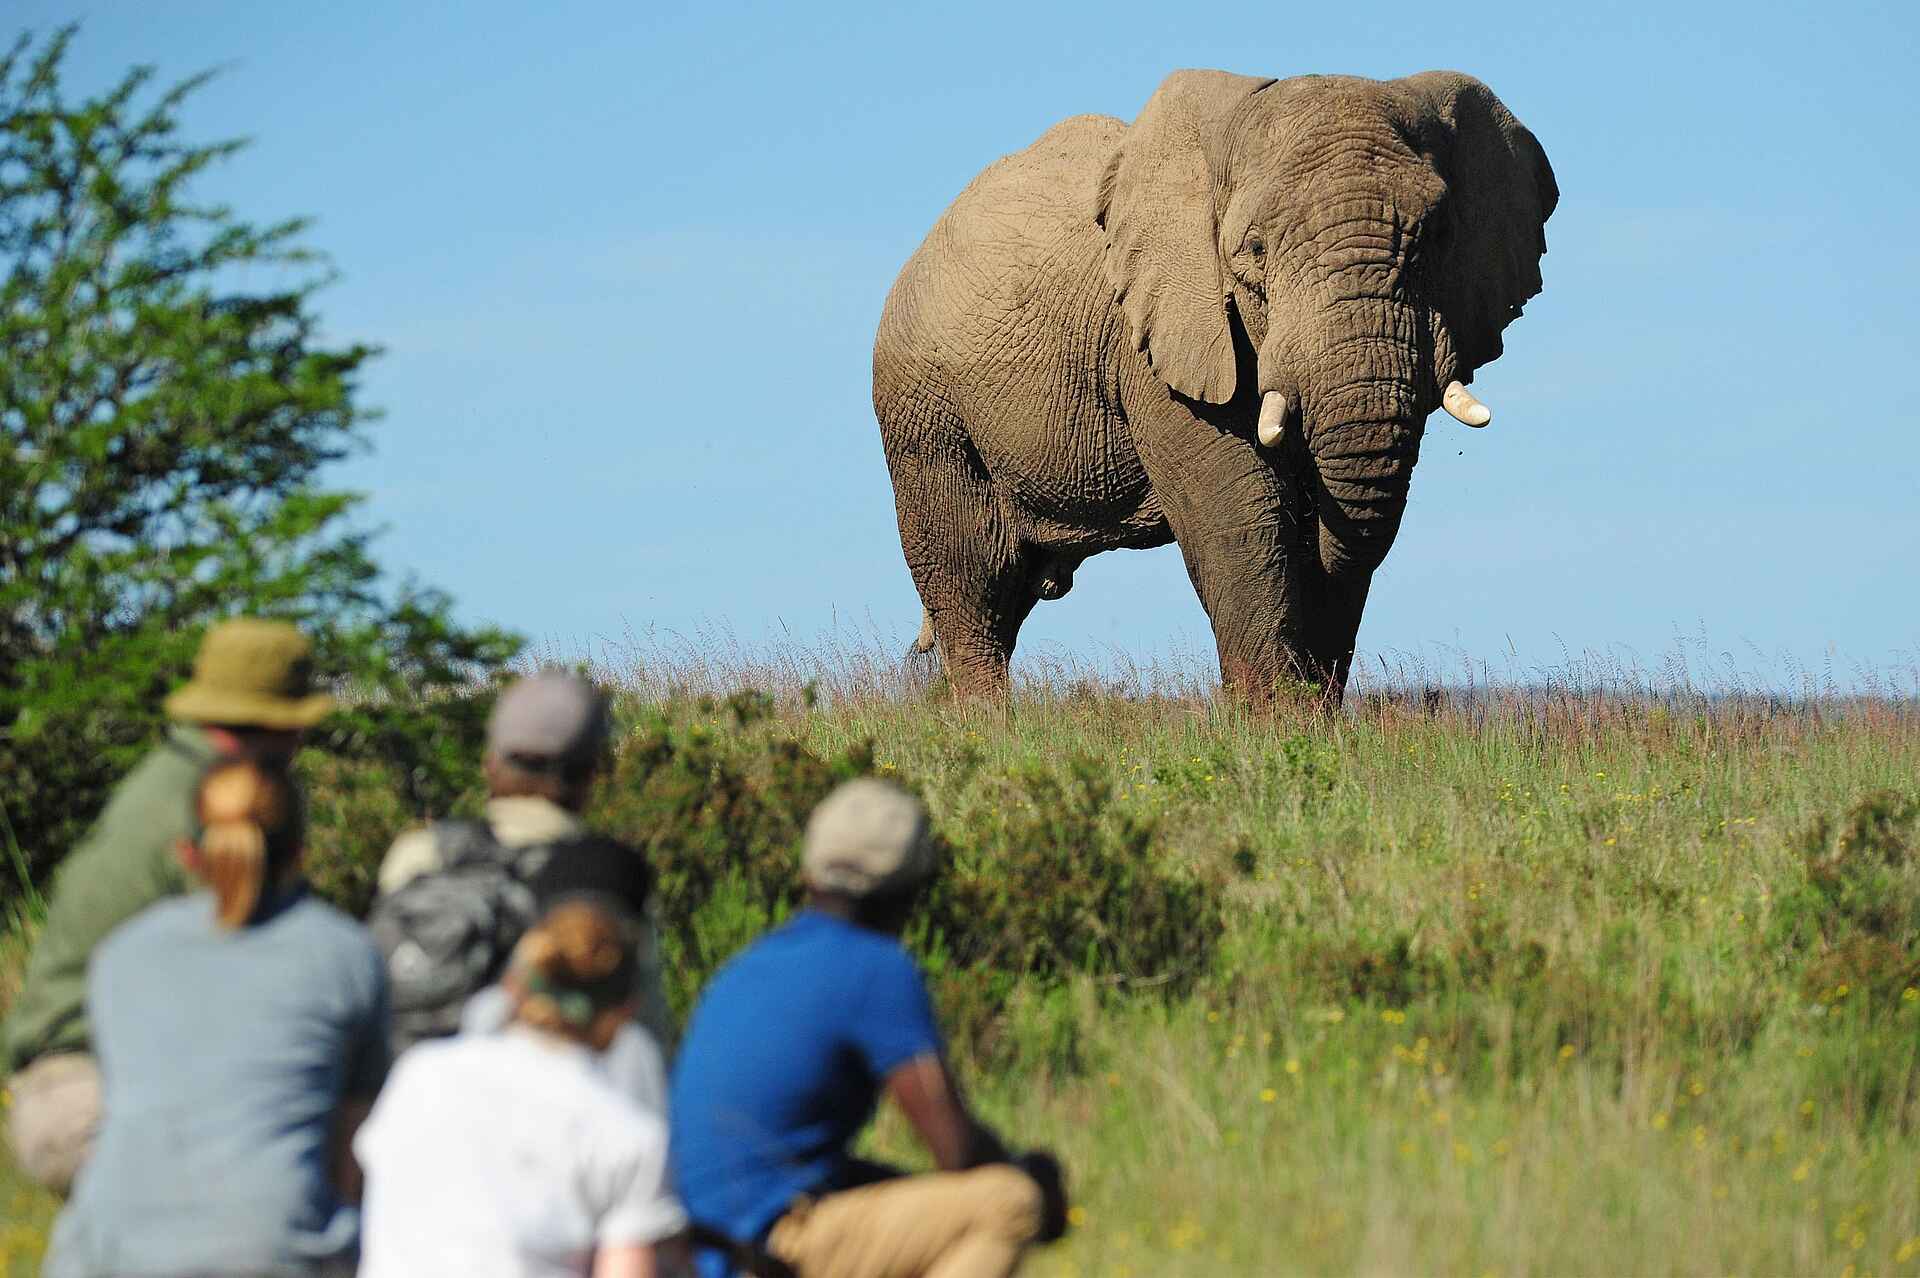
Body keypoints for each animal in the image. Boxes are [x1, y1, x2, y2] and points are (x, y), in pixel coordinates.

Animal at [872, 69, 1556, 701]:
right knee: (972, 576)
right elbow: (1240, 512)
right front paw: (1276, 723)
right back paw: (986, 723)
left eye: (1439, 236)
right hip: (922, 407)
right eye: (1252, 250)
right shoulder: (1156, 344)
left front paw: (1313, 717)